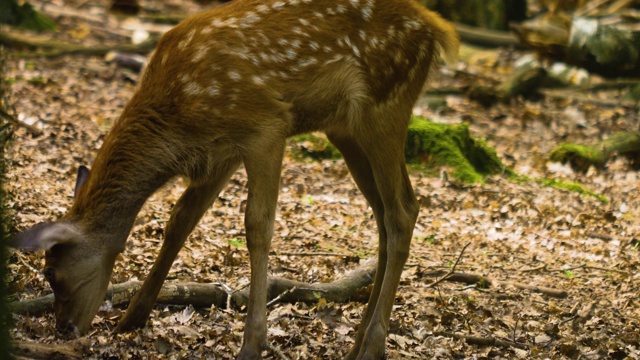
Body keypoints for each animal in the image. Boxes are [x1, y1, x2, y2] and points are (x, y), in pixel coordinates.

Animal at [12, 1, 458, 358]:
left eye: (51, 273)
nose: (64, 328)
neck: (176, 115)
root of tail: (436, 27)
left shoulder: (266, 126)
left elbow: (257, 225)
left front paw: (253, 342)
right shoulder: (218, 154)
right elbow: (180, 221)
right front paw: (131, 318)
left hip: (386, 106)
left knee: (402, 211)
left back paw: (372, 345)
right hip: (346, 129)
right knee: (385, 213)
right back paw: (358, 339)